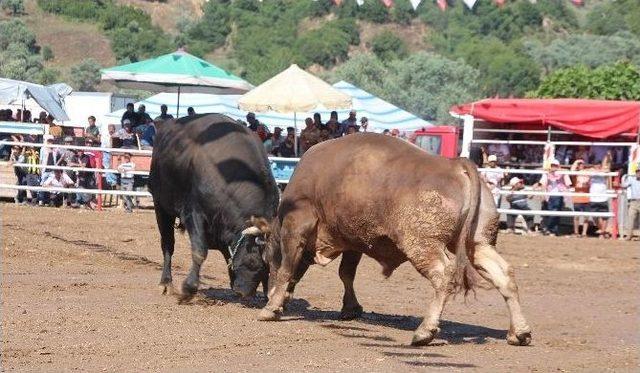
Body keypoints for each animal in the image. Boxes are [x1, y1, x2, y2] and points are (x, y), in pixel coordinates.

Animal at [151, 113, 282, 300]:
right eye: (252, 262)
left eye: (268, 267)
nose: (244, 292)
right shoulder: (193, 213)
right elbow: (200, 250)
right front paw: (189, 288)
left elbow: (228, 253)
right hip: (161, 205)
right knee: (168, 244)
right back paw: (166, 282)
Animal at [258, 133, 532, 346]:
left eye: (266, 260)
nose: (268, 294)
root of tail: (455, 165)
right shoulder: (352, 241)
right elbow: (346, 274)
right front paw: (350, 309)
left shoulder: (296, 227)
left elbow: (288, 269)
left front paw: (271, 308)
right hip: (477, 243)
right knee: (503, 274)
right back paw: (519, 332)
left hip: (422, 245)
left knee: (443, 275)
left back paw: (425, 331)